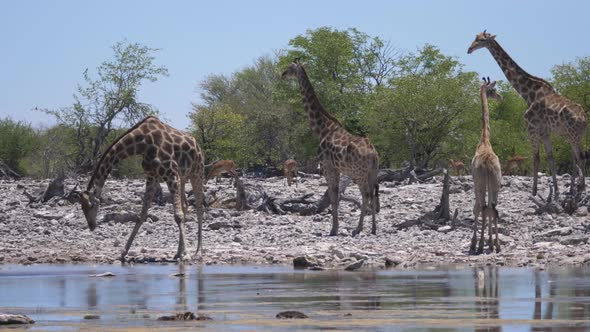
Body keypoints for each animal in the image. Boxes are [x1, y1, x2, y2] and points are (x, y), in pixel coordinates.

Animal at [77, 116, 206, 262]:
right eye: (82, 207)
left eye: (91, 206)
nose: (91, 226)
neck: (143, 143)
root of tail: (197, 145)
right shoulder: (151, 177)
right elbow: (141, 215)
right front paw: (123, 253)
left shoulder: (172, 175)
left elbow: (178, 216)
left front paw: (188, 254)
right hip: (183, 177)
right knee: (185, 205)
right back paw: (179, 253)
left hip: (197, 172)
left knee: (199, 207)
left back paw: (198, 252)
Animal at [284, 59, 382, 236]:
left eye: (289, 68)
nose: (282, 75)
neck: (322, 129)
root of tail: (373, 154)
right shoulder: (336, 169)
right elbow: (335, 197)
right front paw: (335, 227)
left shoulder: (327, 167)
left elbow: (333, 197)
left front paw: (333, 229)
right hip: (372, 172)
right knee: (373, 193)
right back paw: (373, 229)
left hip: (359, 172)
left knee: (366, 194)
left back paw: (358, 229)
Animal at [470, 30, 588, 197]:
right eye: (475, 38)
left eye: (481, 40)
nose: (469, 49)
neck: (527, 93)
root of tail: (585, 119)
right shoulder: (545, 131)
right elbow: (550, 158)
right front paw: (556, 191)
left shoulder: (531, 126)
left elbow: (536, 158)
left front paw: (534, 191)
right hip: (575, 135)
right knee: (577, 156)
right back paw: (574, 189)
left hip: (573, 134)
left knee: (579, 157)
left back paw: (580, 189)